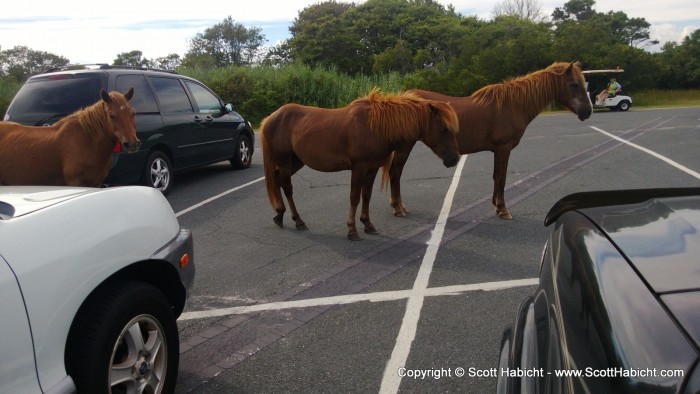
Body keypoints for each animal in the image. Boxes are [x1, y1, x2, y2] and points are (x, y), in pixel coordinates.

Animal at [0, 89, 139, 188]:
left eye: (133, 113)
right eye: (111, 115)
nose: (131, 143)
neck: (87, 141)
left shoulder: (96, 183)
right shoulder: (75, 182)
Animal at [260, 87, 462, 240]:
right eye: (444, 129)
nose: (454, 159)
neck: (374, 127)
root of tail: (270, 119)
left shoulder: (372, 169)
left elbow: (366, 195)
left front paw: (368, 224)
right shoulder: (358, 168)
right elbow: (354, 197)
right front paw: (352, 230)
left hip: (296, 162)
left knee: (277, 181)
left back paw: (279, 215)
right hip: (284, 161)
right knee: (287, 188)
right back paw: (298, 220)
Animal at [382, 61, 592, 219]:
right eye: (574, 84)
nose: (587, 112)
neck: (512, 105)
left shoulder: (497, 150)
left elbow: (495, 176)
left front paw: (496, 205)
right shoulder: (503, 149)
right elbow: (501, 177)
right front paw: (503, 209)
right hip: (405, 147)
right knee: (395, 173)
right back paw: (398, 208)